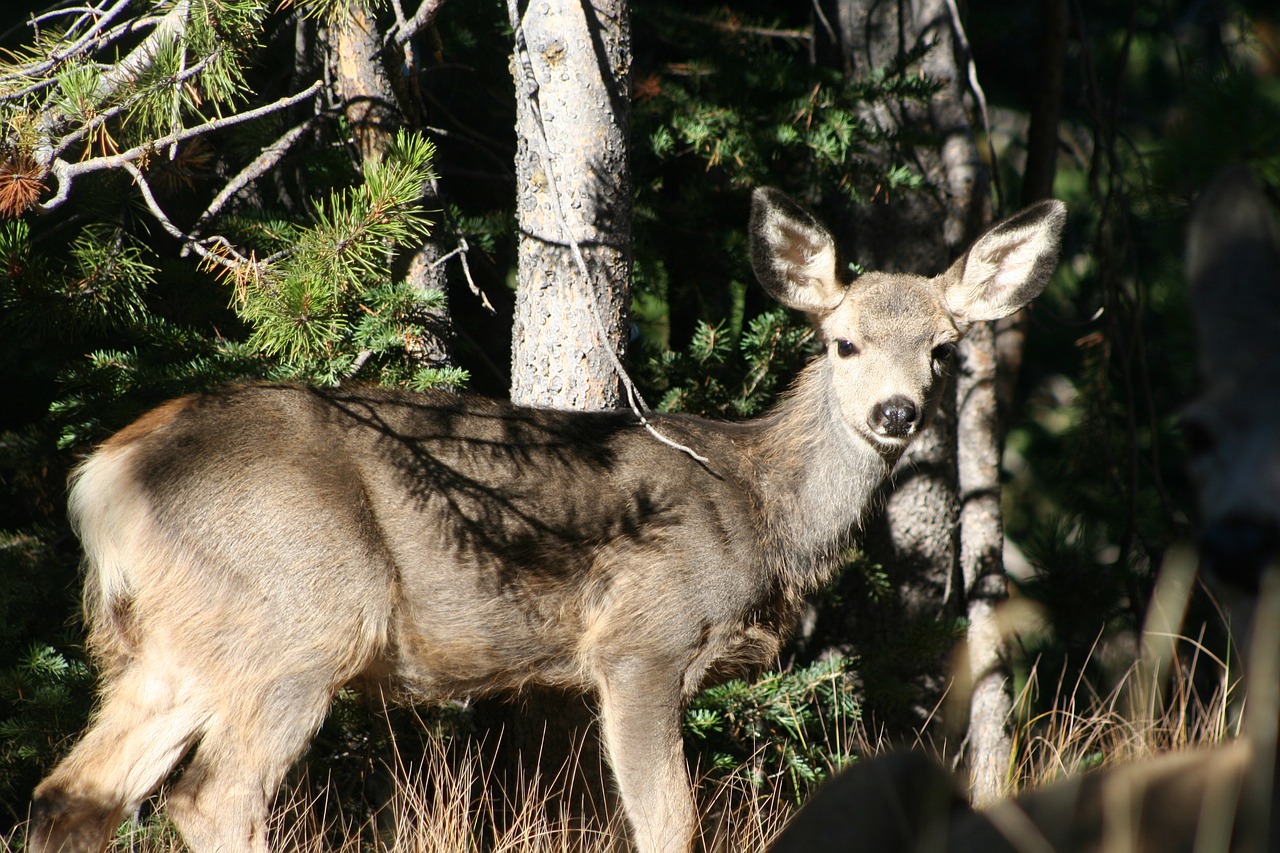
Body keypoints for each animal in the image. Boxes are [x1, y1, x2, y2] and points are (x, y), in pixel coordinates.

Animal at [32, 188, 1070, 850]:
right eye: (842, 341)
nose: (895, 412)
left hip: (174, 642)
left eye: (944, 349)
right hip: (299, 618)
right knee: (210, 801)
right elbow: (668, 823)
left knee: (68, 795)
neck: (758, 507)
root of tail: (107, 476)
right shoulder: (640, 638)